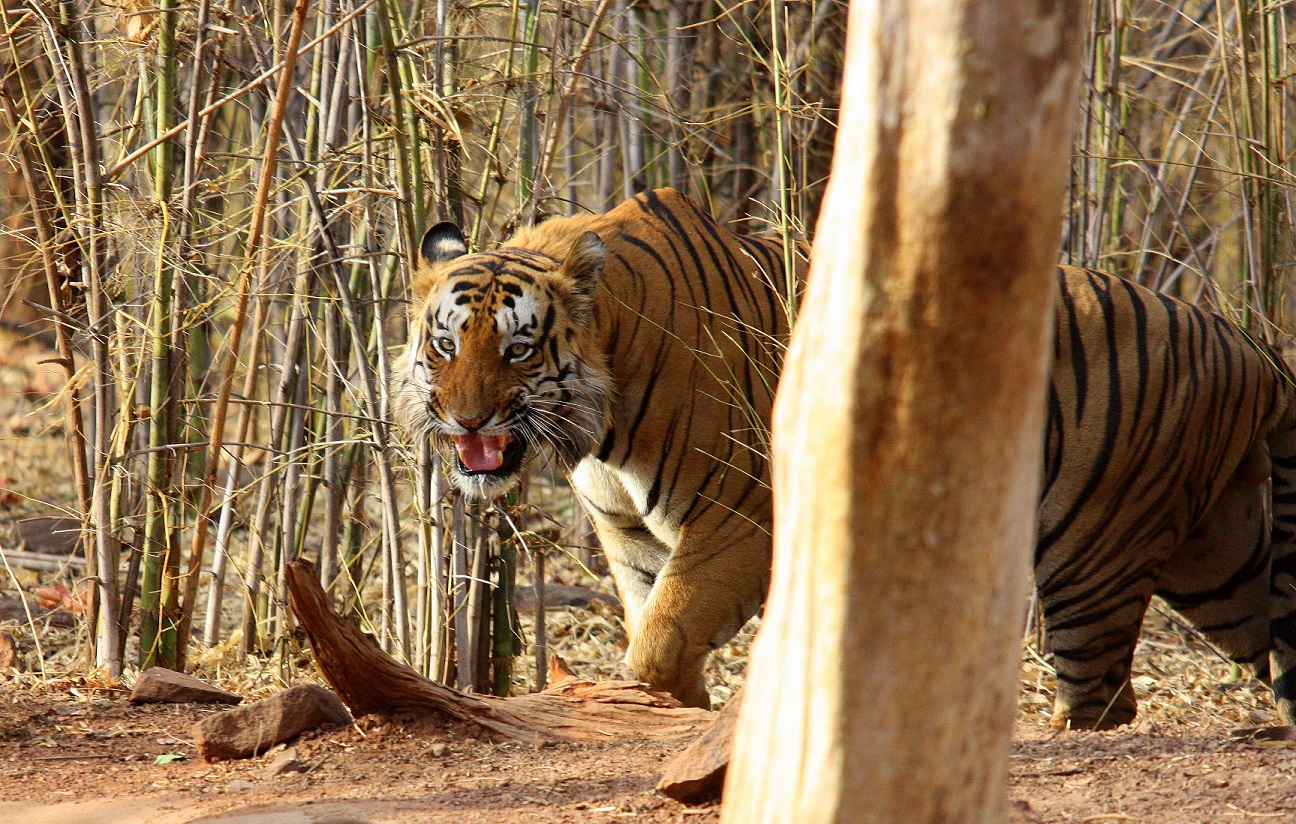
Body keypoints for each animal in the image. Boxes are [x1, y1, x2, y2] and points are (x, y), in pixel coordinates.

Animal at [394, 188, 799, 708]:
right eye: (447, 345)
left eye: (518, 350)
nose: (468, 420)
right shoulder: (628, 533)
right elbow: (654, 625)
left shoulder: (740, 519)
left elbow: (661, 643)